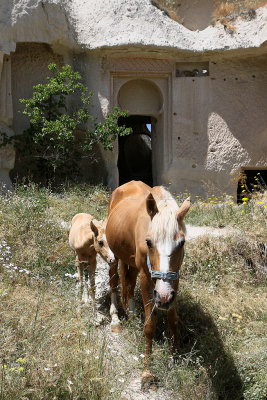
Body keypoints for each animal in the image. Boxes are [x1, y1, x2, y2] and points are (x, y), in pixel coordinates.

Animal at [105, 181, 192, 384]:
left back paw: (131, 313)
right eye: (149, 242)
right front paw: (147, 370)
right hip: (114, 257)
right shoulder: (146, 278)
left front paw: (176, 357)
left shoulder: (174, 279)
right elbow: (149, 326)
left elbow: (173, 321)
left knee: (129, 284)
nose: (163, 296)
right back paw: (115, 319)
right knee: (114, 283)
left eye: (182, 243)